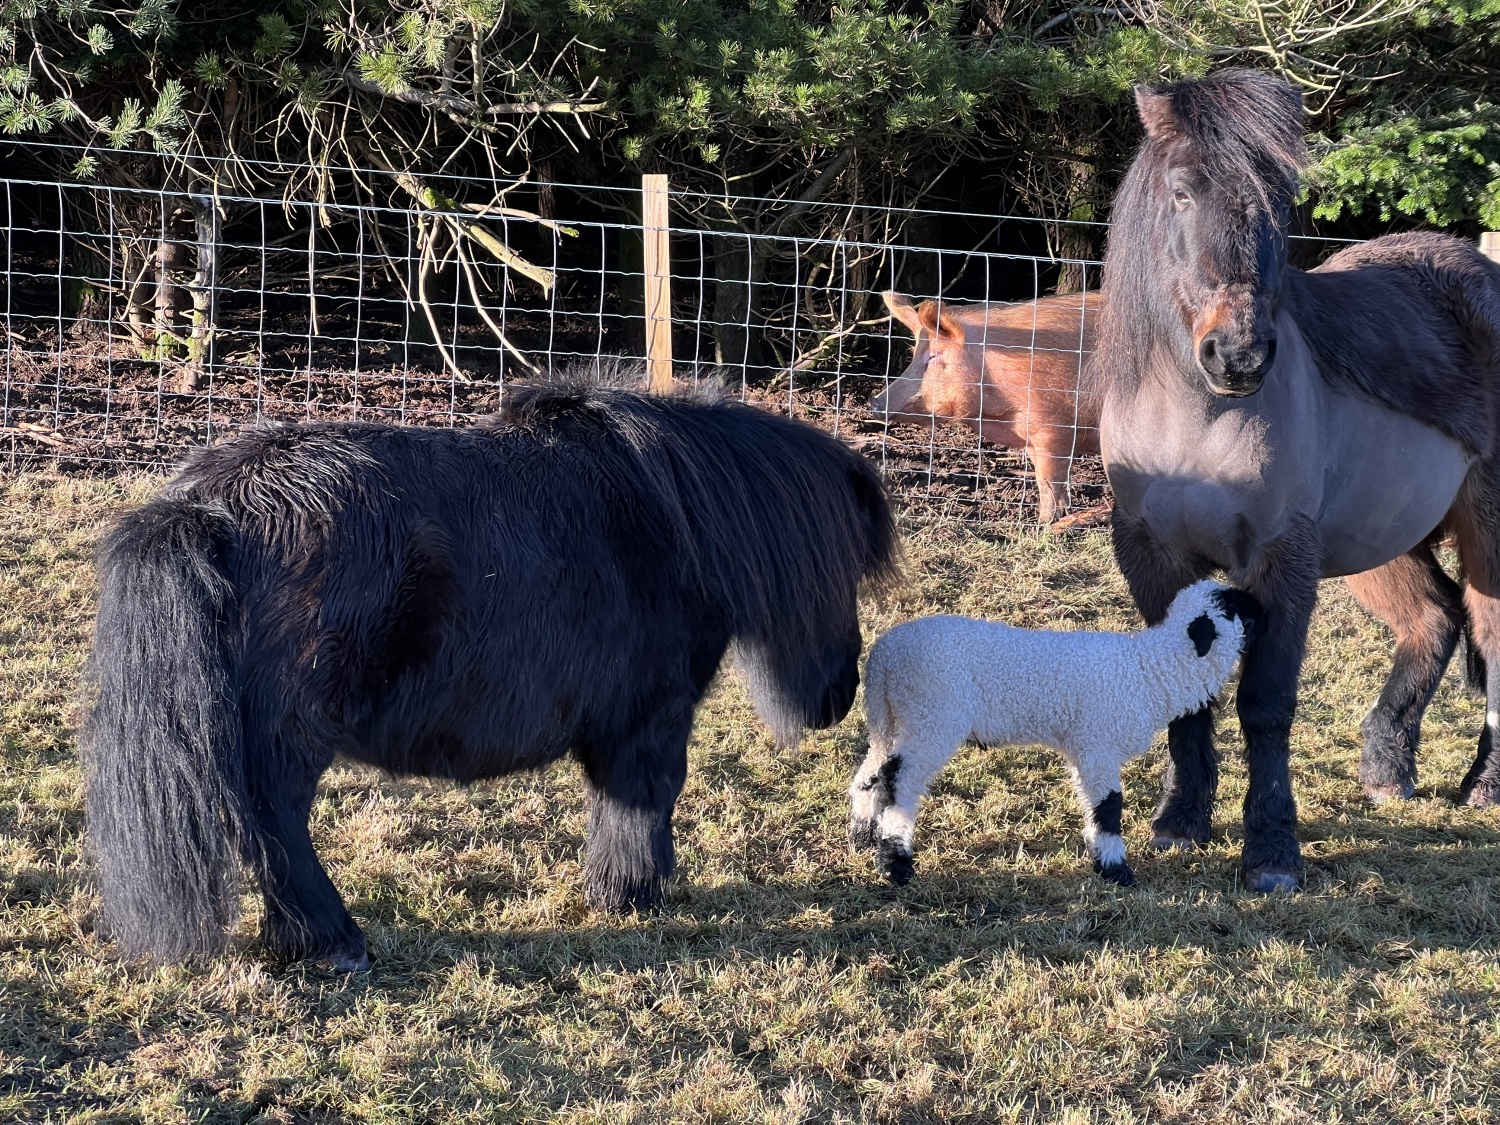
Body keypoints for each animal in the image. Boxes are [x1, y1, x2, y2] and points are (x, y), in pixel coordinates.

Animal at [82, 374, 897, 968]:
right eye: (843, 573)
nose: (841, 694)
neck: (676, 522)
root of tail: (211, 508)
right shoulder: (652, 717)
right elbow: (648, 798)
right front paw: (637, 892)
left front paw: (617, 889)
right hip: (290, 737)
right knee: (274, 827)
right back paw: (332, 943)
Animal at [849, 580, 1264, 887]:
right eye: (1233, 606)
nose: (1264, 607)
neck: (1150, 672)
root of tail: (884, 656)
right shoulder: (1097, 744)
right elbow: (1109, 805)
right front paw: (1116, 870)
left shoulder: (1082, 749)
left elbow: (1093, 805)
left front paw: (1101, 858)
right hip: (931, 716)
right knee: (898, 782)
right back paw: (897, 864)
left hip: (892, 719)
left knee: (870, 775)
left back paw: (863, 840)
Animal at [875, 290, 1102, 523]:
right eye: (913, 354)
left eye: (934, 356)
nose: (874, 402)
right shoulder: (1031, 438)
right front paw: (1060, 517)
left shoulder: (1053, 430)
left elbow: (1050, 483)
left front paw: (1045, 524)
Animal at [1096, 67, 1500, 892]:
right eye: (1181, 192)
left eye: (1280, 202)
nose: (1240, 354)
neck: (1197, 414)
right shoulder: (1152, 557)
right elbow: (1185, 699)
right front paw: (1180, 822)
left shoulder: (1283, 559)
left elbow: (1266, 704)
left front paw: (1272, 854)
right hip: (1381, 537)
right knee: (1434, 617)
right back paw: (1386, 769)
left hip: (1484, 522)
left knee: (1491, 629)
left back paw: (1482, 786)